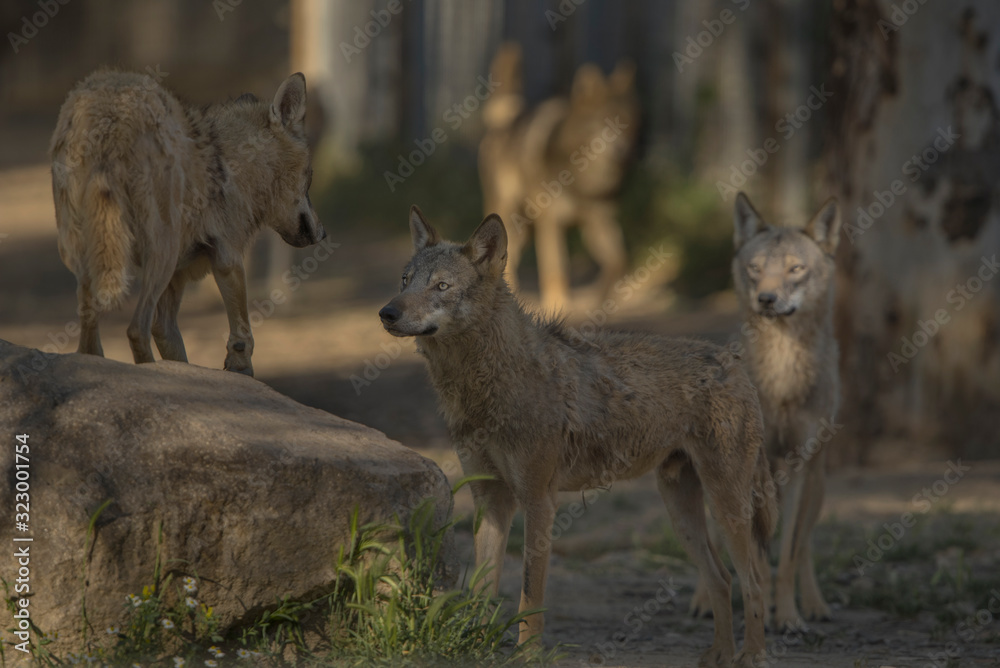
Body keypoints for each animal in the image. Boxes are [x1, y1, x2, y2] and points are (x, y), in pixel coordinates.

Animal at [50, 69, 326, 376]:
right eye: (310, 176)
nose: (323, 233)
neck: (231, 162)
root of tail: (108, 115)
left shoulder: (177, 281)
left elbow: (171, 342)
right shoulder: (228, 258)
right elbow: (244, 334)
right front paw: (239, 366)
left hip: (89, 262)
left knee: (91, 339)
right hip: (161, 255)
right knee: (135, 330)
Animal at [379, 207, 777, 667]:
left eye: (441, 286)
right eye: (405, 281)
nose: (386, 313)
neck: (486, 386)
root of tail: (734, 361)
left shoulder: (539, 501)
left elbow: (529, 595)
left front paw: (526, 654)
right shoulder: (491, 499)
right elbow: (481, 589)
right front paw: (473, 643)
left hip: (727, 504)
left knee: (754, 579)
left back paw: (752, 655)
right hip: (681, 511)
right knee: (722, 578)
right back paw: (720, 654)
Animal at [478, 43, 639, 312]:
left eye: (628, 124)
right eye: (604, 122)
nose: (624, 151)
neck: (582, 177)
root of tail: (508, 118)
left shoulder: (598, 222)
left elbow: (619, 260)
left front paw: (601, 295)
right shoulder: (551, 223)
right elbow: (556, 268)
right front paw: (559, 303)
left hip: (523, 229)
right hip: (509, 218)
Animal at [691, 192, 840, 631]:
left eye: (795, 268)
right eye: (755, 269)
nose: (767, 300)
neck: (781, 376)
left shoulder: (799, 467)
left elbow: (787, 555)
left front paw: (788, 616)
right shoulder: (749, 471)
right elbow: (753, 559)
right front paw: (758, 614)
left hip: (815, 487)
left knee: (803, 545)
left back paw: (815, 604)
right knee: (712, 545)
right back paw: (705, 601)